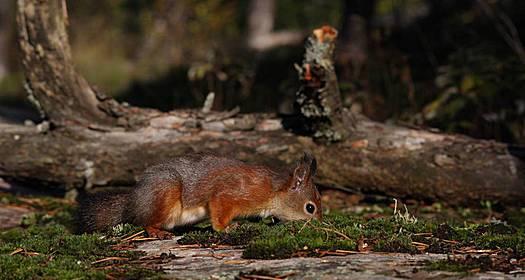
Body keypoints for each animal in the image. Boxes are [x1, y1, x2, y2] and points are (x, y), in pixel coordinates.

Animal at [79, 153, 322, 238]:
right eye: (310, 207)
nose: (320, 223)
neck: (273, 190)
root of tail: (132, 201)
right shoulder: (233, 193)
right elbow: (219, 211)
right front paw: (227, 228)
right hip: (165, 193)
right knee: (144, 221)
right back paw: (156, 231)